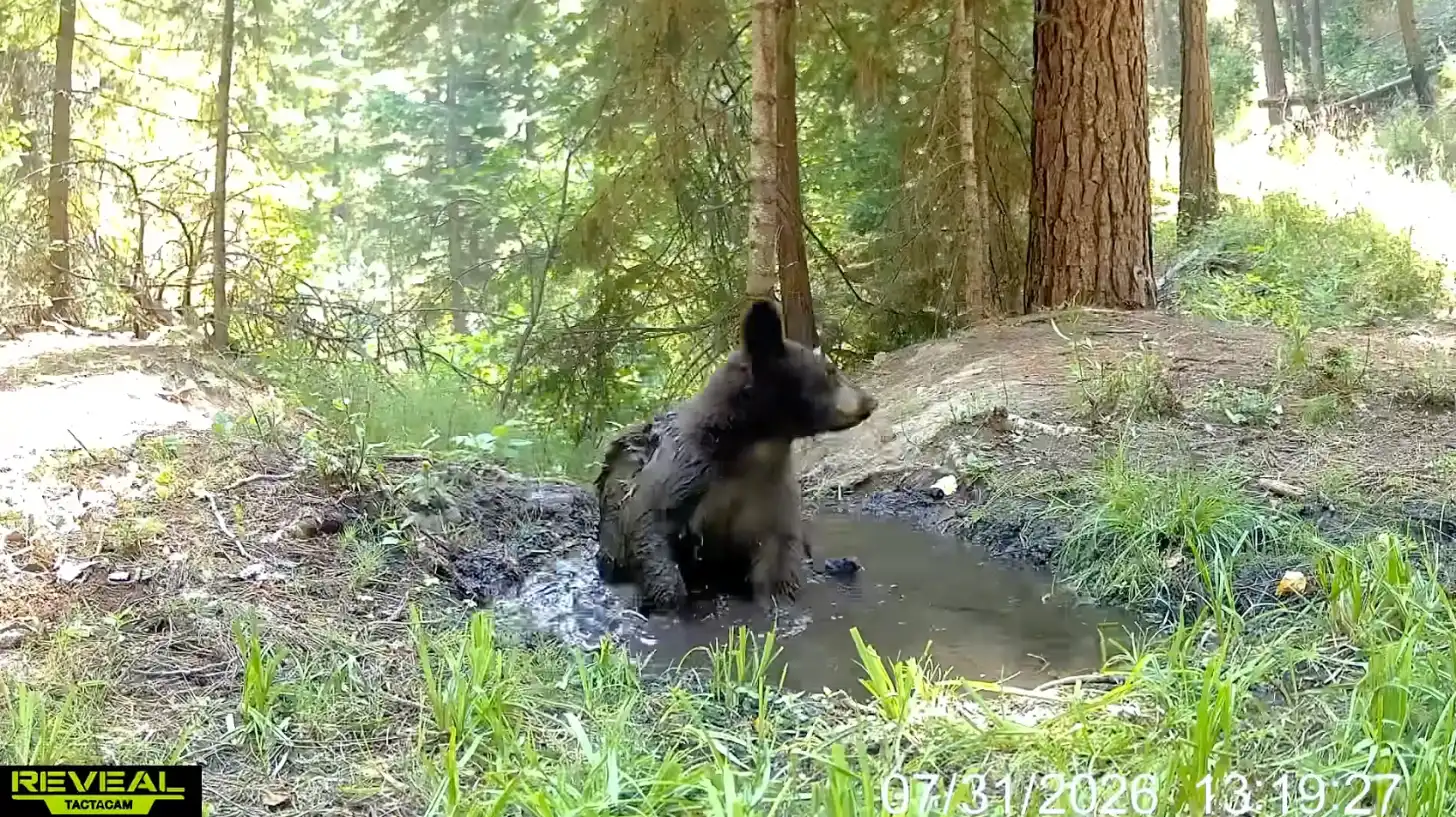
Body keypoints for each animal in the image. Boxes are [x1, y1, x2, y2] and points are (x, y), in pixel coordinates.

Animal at [593, 298, 879, 614]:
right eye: (830, 371)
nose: (870, 401)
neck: (753, 448)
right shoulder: (685, 475)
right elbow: (648, 527)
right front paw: (668, 597)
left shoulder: (770, 496)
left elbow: (778, 555)